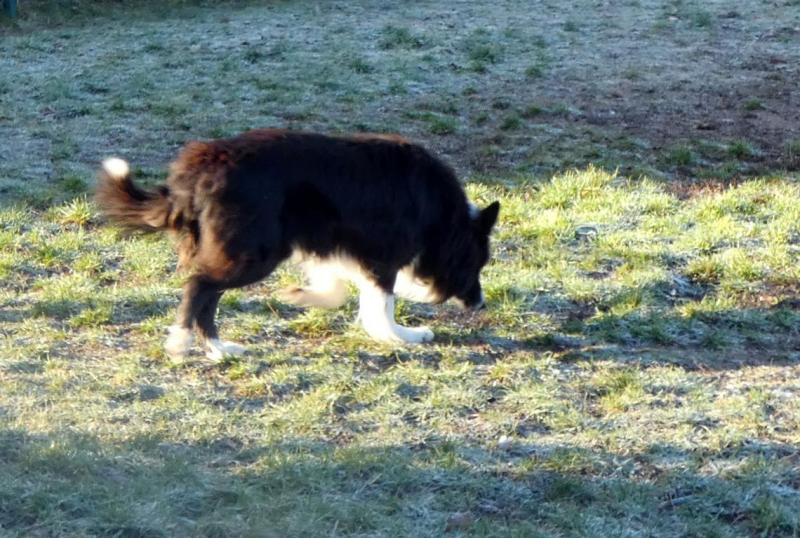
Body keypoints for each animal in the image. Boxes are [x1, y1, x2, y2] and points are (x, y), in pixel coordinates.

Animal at [96, 130, 499, 360]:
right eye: (477, 264)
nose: (480, 303)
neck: (443, 215)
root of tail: (199, 169)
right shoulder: (382, 255)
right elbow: (382, 305)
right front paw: (400, 336)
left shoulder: (331, 241)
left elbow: (338, 289)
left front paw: (301, 296)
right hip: (253, 252)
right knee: (199, 286)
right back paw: (181, 343)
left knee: (208, 295)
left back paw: (219, 350)